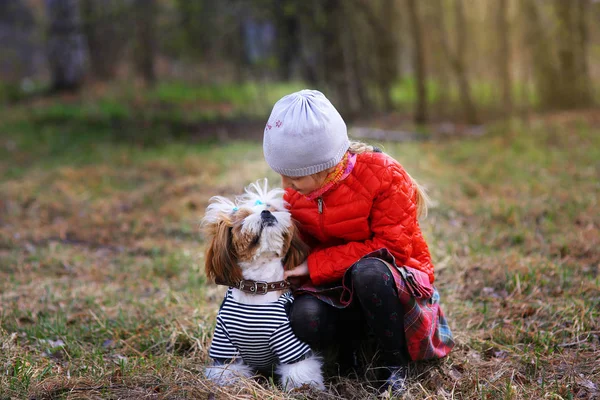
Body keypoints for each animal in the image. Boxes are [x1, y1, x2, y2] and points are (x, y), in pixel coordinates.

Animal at [200, 180, 324, 390]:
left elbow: (299, 369)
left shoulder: (289, 340)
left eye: (273, 209)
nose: (266, 213)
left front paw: (305, 388)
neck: (259, 286)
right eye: (244, 217)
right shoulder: (225, 346)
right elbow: (227, 371)